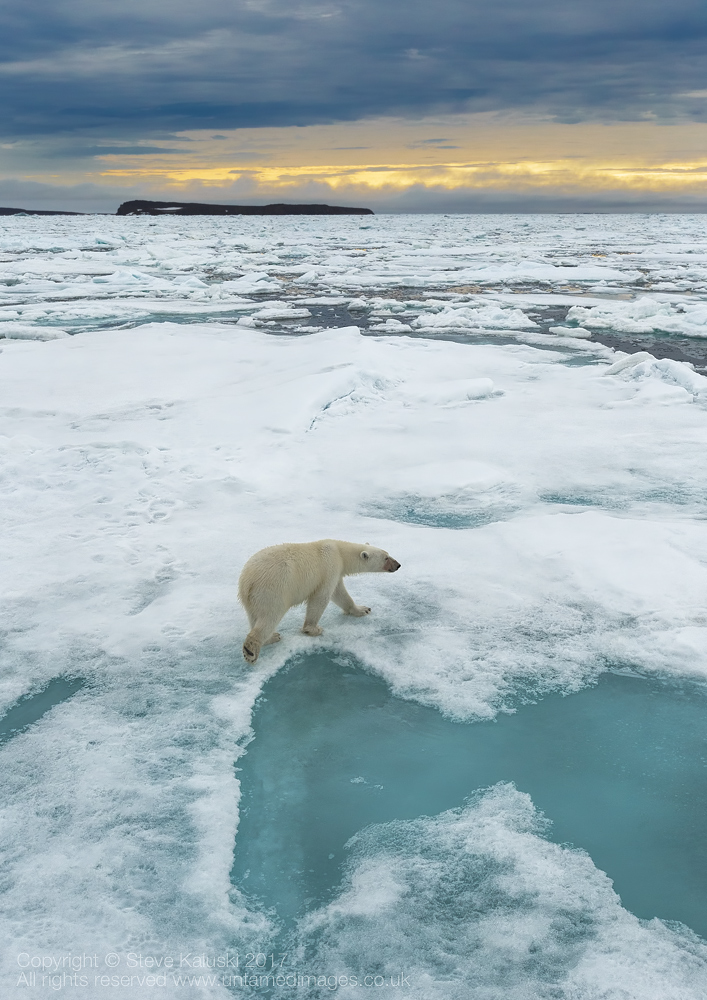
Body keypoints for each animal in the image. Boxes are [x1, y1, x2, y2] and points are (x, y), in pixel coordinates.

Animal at [238, 539, 401, 663]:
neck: (340, 552)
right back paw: (253, 648)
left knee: (254, 617)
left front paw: (362, 609)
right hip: (274, 590)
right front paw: (313, 629)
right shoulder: (330, 567)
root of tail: (247, 581)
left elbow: (340, 593)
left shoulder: (336, 571)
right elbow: (321, 597)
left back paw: (270, 637)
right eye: (386, 558)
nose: (398, 565)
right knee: (269, 617)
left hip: (251, 599)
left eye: (388, 553)